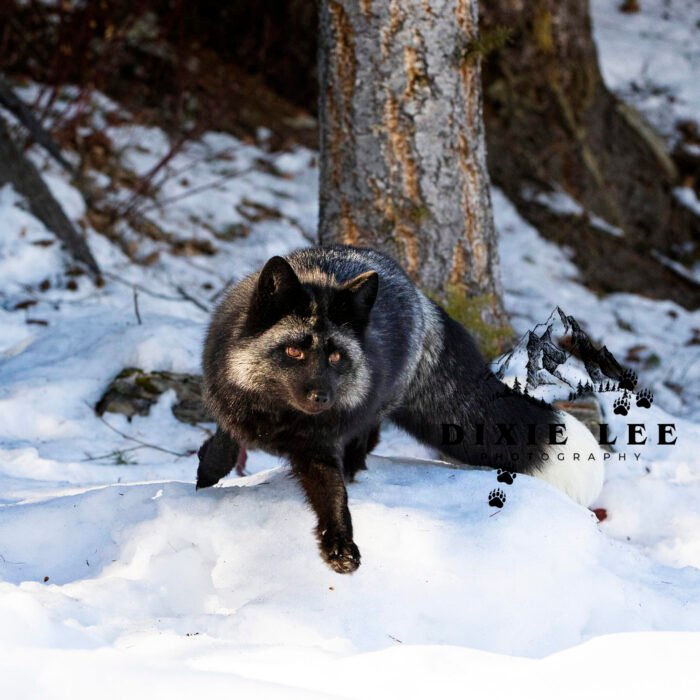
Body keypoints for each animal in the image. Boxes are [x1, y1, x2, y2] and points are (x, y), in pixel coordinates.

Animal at [197, 245, 604, 573]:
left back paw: (355, 467)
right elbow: (226, 436)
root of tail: (422, 298)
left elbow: (334, 497)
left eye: (335, 357)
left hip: (374, 405)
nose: (322, 398)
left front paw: (340, 543)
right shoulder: (229, 401)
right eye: (294, 351)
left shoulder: (318, 447)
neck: (276, 419)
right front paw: (208, 471)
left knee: (367, 436)